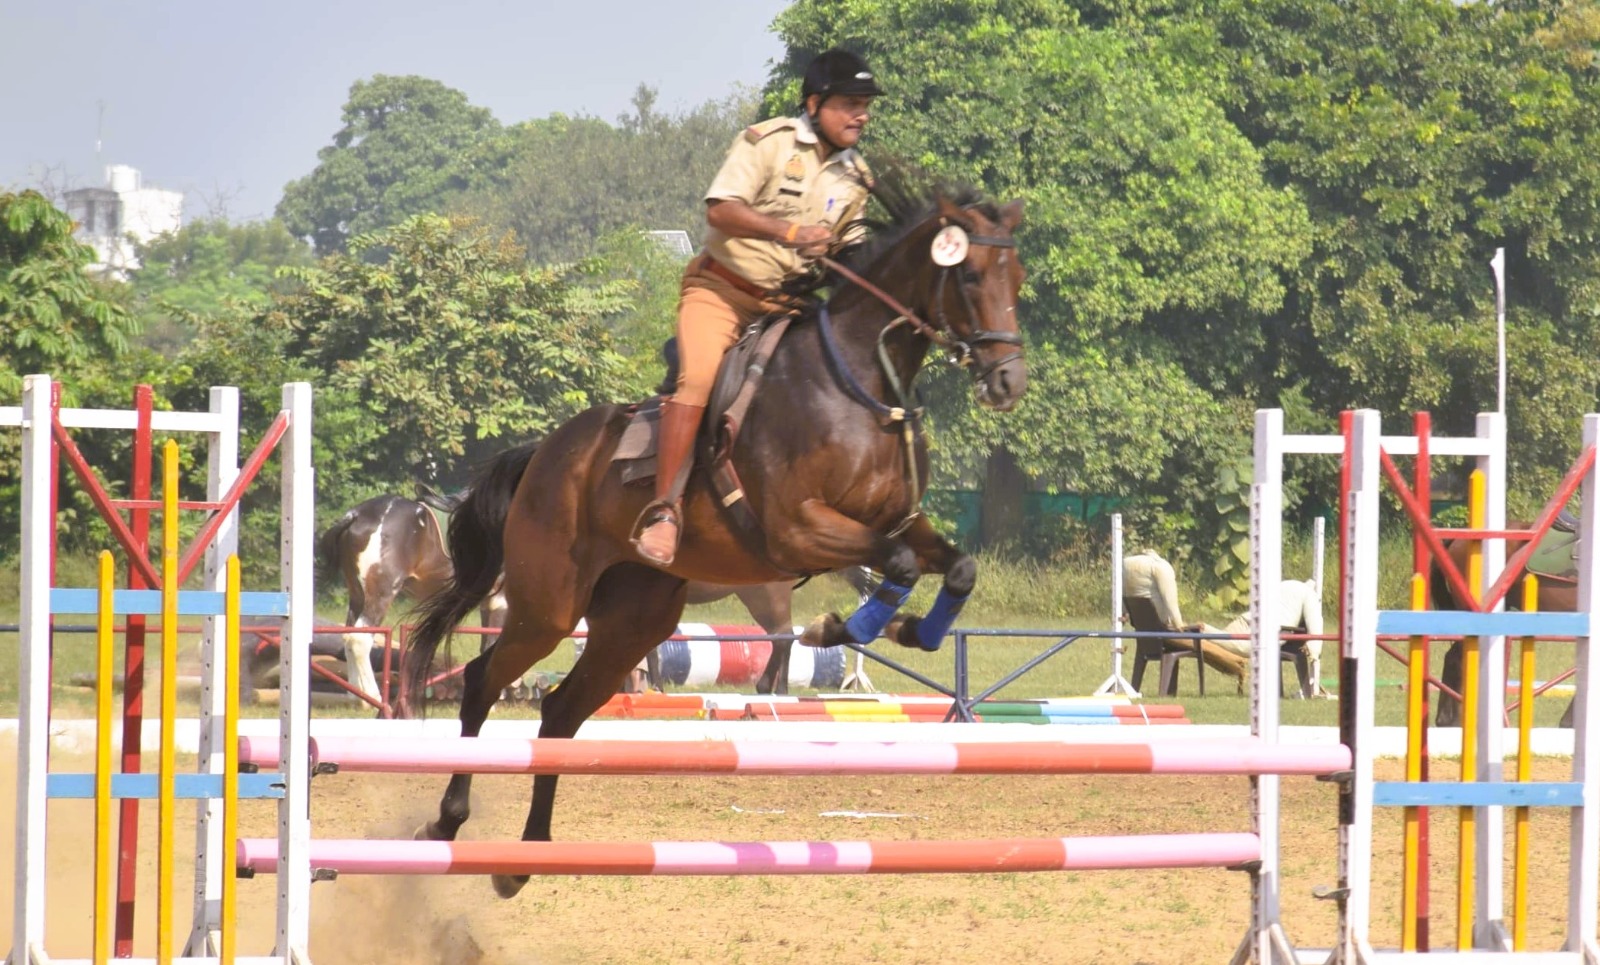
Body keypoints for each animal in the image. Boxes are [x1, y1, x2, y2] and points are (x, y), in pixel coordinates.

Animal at [400, 179, 1024, 896]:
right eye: (971, 276)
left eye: (1017, 276)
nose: (1009, 380)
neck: (858, 387)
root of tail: (542, 454)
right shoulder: (798, 529)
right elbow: (892, 567)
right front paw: (840, 627)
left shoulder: (898, 522)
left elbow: (956, 569)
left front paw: (908, 630)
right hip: (548, 606)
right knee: (482, 681)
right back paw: (446, 824)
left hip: (632, 621)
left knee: (559, 711)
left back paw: (525, 857)